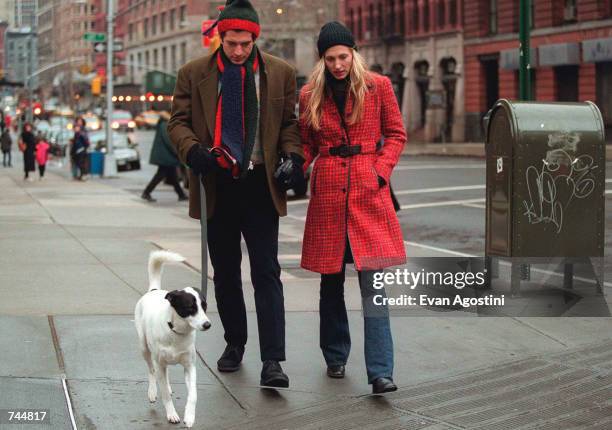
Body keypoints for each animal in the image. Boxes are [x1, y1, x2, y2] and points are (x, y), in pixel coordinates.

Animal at [134, 250, 210, 428]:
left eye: (204, 306)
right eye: (190, 307)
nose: (207, 324)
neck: (177, 332)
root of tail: (153, 290)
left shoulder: (190, 366)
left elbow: (193, 395)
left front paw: (189, 416)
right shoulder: (159, 361)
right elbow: (165, 395)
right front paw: (172, 414)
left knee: (164, 373)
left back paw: (166, 386)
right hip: (144, 348)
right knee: (152, 370)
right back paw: (153, 391)